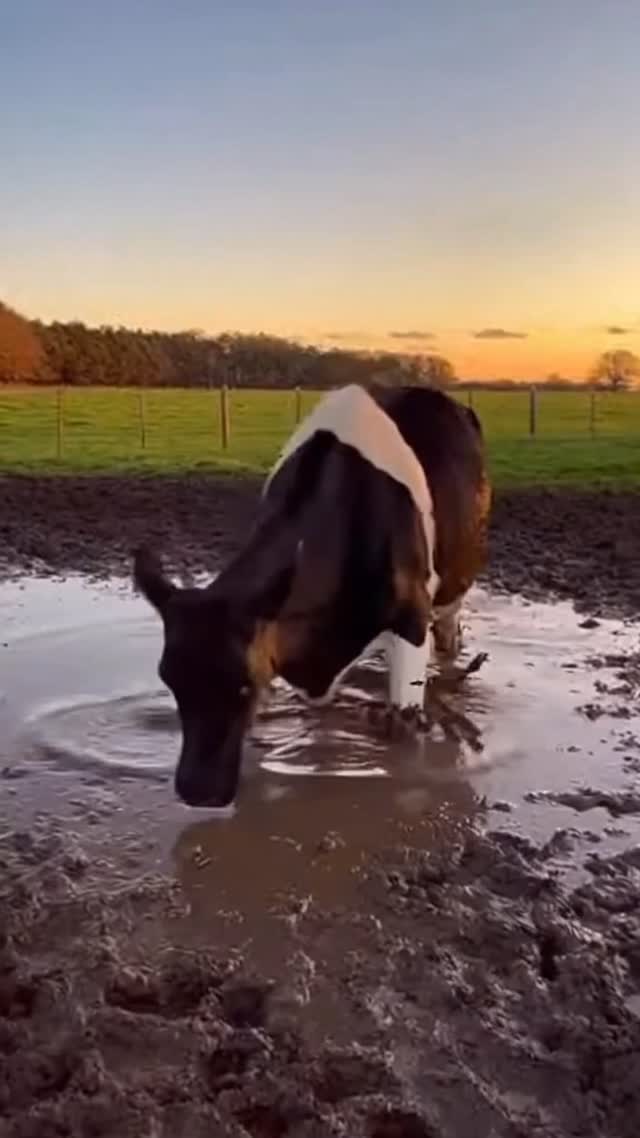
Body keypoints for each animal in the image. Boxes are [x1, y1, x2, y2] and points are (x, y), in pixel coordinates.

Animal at [133, 382, 491, 808]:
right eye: (169, 679)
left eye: (243, 685)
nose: (197, 790)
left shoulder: (411, 622)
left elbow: (406, 733)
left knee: (449, 638)